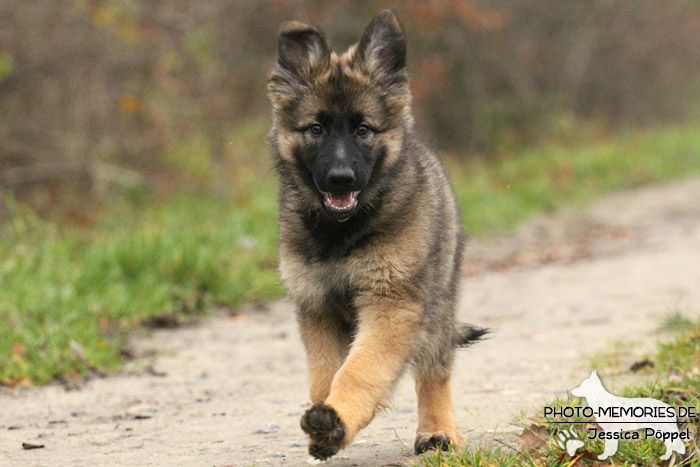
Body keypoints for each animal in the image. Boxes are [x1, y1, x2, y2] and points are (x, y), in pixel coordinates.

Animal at [266, 9, 484, 462]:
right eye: (316, 129)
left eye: (363, 129)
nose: (340, 178)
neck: (340, 233)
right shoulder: (316, 307)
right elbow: (325, 375)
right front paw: (326, 420)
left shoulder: (392, 304)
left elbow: (359, 371)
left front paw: (337, 420)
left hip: (437, 307)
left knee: (434, 372)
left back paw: (438, 431)